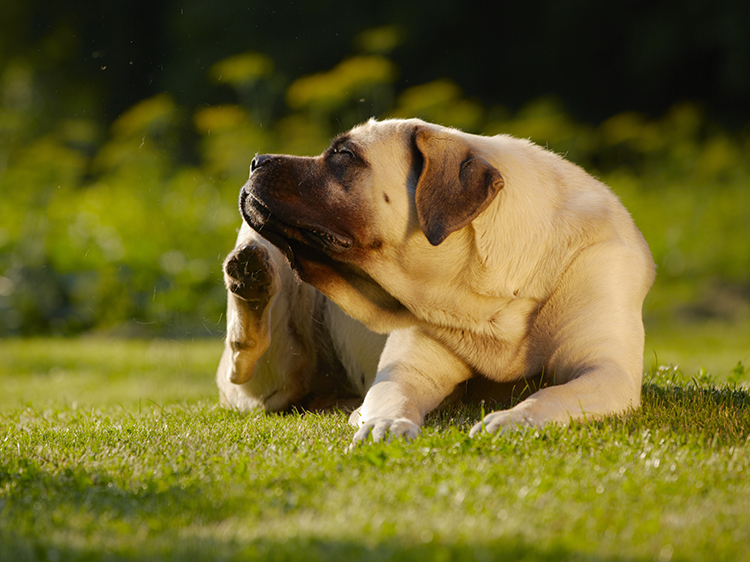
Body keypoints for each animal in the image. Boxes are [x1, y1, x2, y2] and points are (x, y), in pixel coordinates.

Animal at [214, 118, 656, 442]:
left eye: (343, 155)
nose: (256, 160)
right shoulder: (408, 372)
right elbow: (391, 396)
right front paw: (384, 422)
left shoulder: (606, 372)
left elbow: (549, 396)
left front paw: (513, 420)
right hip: (271, 374)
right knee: (245, 351)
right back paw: (251, 278)